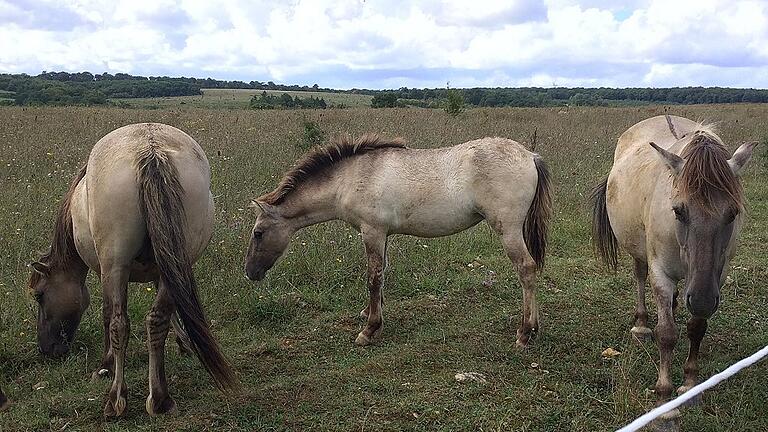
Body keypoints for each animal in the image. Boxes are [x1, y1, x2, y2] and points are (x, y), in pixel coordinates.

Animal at [29, 123, 234, 416]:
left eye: (39, 295)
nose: (46, 349)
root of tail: (151, 150)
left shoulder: (105, 271)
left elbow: (107, 317)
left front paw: (106, 365)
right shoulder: (164, 270)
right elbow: (171, 311)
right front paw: (183, 343)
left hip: (116, 266)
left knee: (119, 323)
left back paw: (116, 397)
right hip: (175, 258)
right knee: (156, 318)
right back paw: (160, 397)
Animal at [243, 135, 548, 348]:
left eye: (258, 233)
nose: (250, 273)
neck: (351, 177)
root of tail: (530, 155)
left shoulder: (372, 232)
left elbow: (373, 277)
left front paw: (369, 330)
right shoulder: (383, 235)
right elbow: (382, 275)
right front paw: (370, 312)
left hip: (508, 231)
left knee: (526, 269)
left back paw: (525, 333)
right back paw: (533, 329)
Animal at [592, 114, 760, 412]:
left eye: (732, 213)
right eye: (679, 211)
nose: (702, 300)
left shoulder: (716, 278)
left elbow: (697, 328)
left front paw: (690, 385)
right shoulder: (661, 273)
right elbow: (667, 334)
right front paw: (663, 395)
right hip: (640, 255)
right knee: (640, 277)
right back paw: (642, 324)